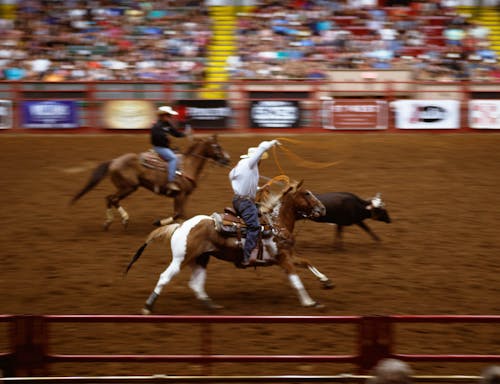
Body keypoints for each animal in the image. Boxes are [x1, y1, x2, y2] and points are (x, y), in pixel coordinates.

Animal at [70, 135, 230, 230]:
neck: (188, 166)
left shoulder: (184, 196)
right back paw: (121, 220)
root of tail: (114, 161)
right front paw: (158, 222)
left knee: (110, 199)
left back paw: (111, 222)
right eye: (217, 146)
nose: (227, 159)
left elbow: (182, 214)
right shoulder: (179, 195)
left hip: (127, 187)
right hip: (129, 187)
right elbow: (178, 213)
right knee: (112, 199)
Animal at [127, 178, 334, 314]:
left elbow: (307, 262)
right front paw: (309, 302)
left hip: (201, 258)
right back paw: (148, 306)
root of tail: (180, 226)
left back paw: (211, 305)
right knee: (165, 277)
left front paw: (326, 281)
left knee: (196, 284)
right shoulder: (283, 259)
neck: (276, 223)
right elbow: (296, 280)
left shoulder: (285, 255)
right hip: (181, 259)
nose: (323, 208)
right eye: (306, 193)